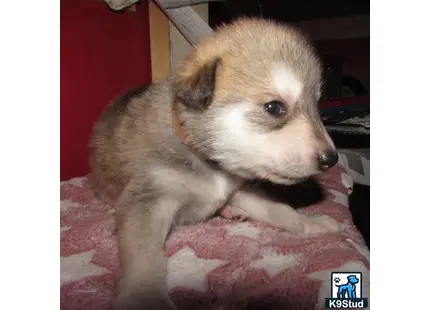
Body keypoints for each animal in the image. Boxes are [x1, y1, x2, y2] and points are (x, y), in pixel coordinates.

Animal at [90, 17, 342, 310]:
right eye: (274, 107)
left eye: (317, 106)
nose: (331, 159)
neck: (208, 161)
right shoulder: (149, 199)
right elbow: (146, 255)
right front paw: (146, 297)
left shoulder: (240, 188)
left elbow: (279, 209)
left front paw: (308, 221)